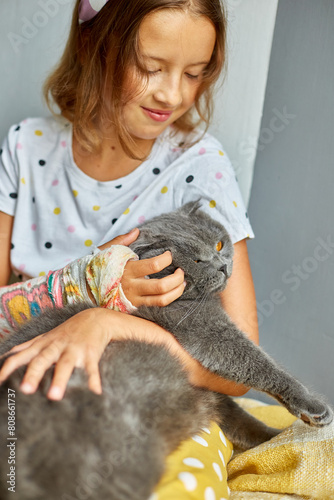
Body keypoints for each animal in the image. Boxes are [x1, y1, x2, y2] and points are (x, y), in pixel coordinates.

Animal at [0, 200, 332, 500]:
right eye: (196, 261)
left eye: (220, 243)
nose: (223, 265)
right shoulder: (204, 328)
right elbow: (255, 361)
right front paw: (313, 408)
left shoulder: (214, 394)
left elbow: (246, 422)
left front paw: (277, 437)